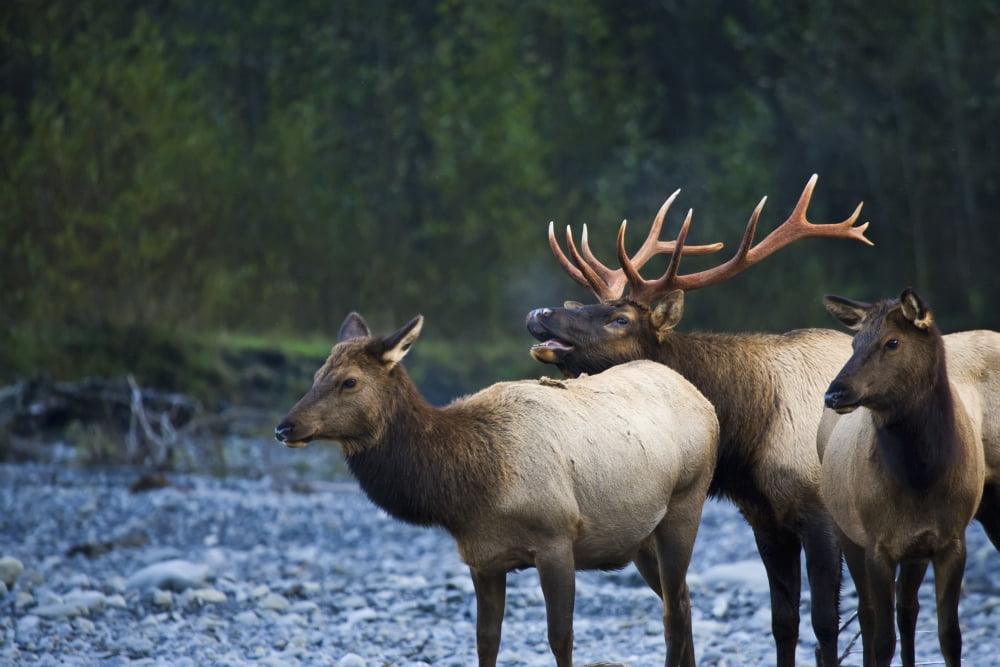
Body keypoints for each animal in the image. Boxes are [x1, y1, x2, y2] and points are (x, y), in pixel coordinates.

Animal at [274, 311, 720, 667]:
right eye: (315, 376)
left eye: (349, 381)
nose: (284, 427)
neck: (474, 488)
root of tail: (702, 398)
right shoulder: (482, 557)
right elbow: (486, 640)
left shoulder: (557, 536)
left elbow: (561, 637)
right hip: (640, 537)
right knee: (682, 600)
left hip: (686, 502)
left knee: (673, 611)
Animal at [525, 174, 872, 667]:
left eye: (619, 318)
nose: (540, 313)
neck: (748, 437)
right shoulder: (764, 518)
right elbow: (783, 623)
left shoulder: (820, 511)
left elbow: (824, 623)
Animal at [818, 288, 985, 667]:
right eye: (854, 343)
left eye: (892, 342)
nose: (834, 394)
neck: (920, 479)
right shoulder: (876, 543)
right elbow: (882, 640)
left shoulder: (951, 539)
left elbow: (950, 636)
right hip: (846, 530)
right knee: (867, 614)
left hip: (914, 553)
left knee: (908, 611)